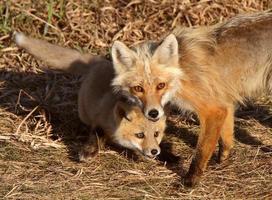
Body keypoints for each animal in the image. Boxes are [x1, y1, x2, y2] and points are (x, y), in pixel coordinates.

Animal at [14, 33, 166, 160]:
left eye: (156, 134)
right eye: (140, 135)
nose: (155, 151)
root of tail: (99, 61)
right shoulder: (98, 121)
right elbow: (95, 137)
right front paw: (89, 151)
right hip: (83, 112)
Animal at [109, 10, 272, 186]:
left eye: (161, 85)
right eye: (138, 88)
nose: (153, 113)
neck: (182, 74)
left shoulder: (213, 110)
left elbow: (201, 152)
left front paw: (191, 180)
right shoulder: (224, 103)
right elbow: (226, 140)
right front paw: (222, 161)